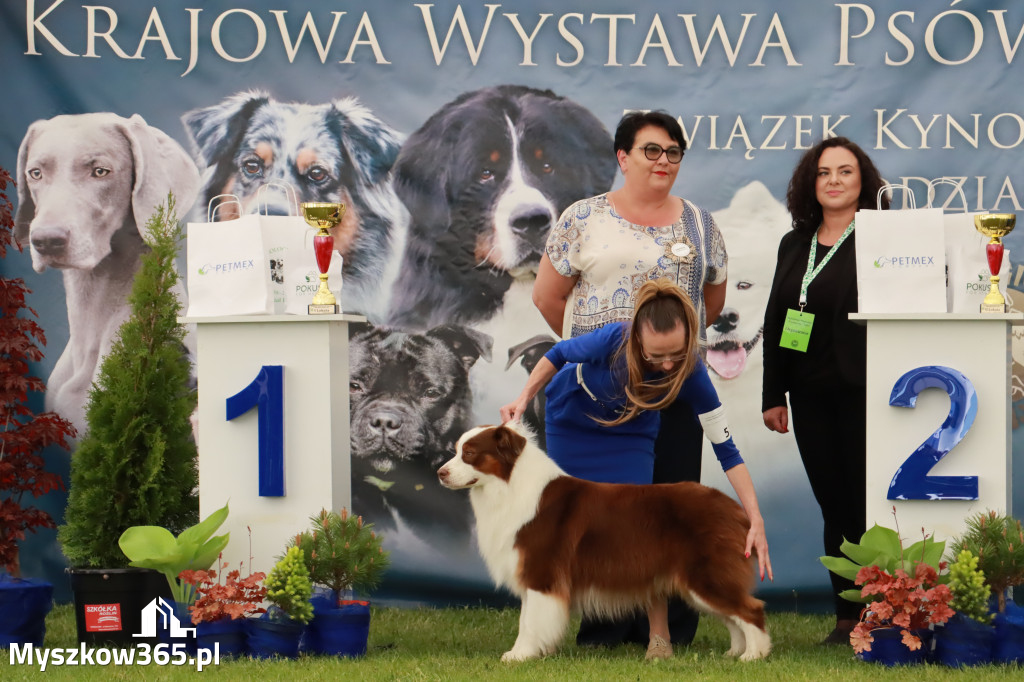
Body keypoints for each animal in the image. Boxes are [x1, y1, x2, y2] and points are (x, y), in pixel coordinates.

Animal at [436, 421, 770, 659]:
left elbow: (529, 622)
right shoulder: (534, 576)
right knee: (734, 616)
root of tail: (736, 508)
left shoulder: (541, 574)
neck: (509, 486)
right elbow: (529, 617)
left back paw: (753, 655)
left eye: (469, 453)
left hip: (705, 575)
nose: (440, 473)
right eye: (456, 450)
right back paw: (734, 652)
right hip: (698, 582)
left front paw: (519, 656)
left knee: (751, 609)